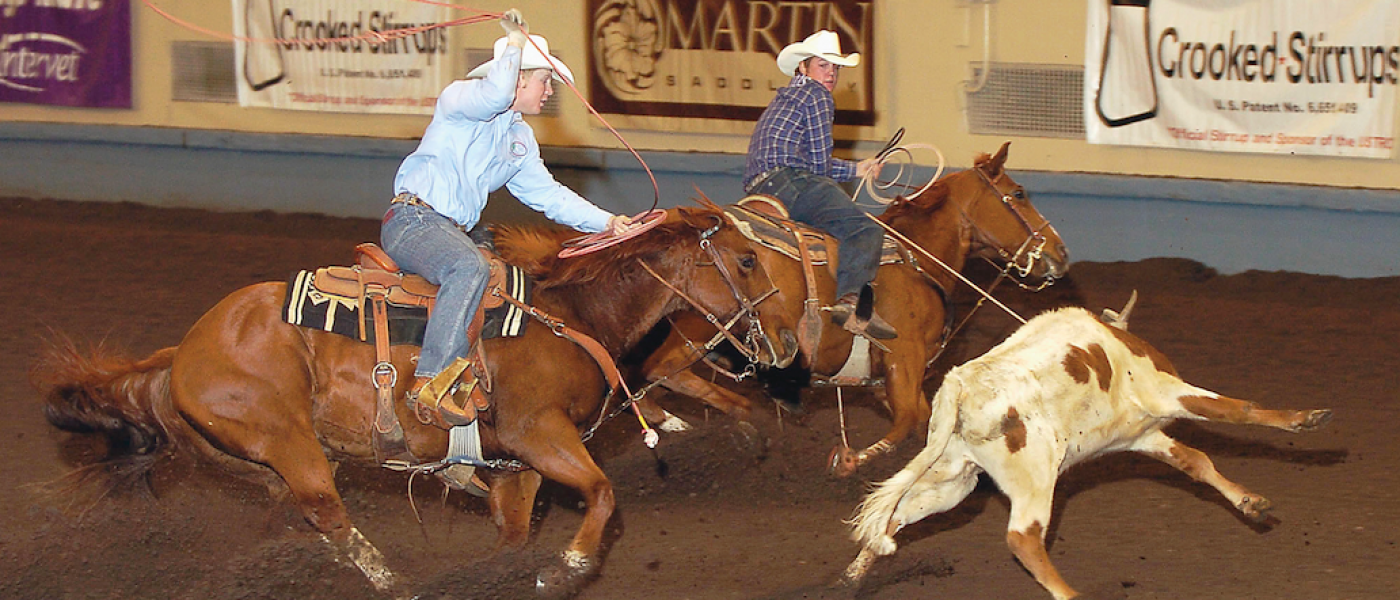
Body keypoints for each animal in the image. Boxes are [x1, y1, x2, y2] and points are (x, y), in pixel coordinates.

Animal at [35, 202, 800, 595]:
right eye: (747, 259)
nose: (788, 341)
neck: (570, 315)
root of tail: (181, 351)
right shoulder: (540, 434)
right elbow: (604, 493)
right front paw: (568, 568)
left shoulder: (515, 467)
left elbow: (516, 532)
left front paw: (505, 572)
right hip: (288, 443)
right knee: (330, 516)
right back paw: (390, 583)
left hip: (264, 460)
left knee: (298, 516)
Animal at [638, 142, 1069, 475]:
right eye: (1018, 193)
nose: (1061, 253)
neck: (916, 257)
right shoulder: (903, 357)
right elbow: (907, 421)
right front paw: (850, 460)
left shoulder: (889, 376)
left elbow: (925, 424)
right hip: (701, 327)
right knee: (658, 368)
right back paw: (723, 417)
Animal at [840, 303, 1332, 598]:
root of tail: (960, 386)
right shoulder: (1165, 393)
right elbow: (1234, 409)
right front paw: (1305, 418)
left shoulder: (1142, 436)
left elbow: (1197, 461)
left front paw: (1251, 503)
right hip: (1035, 477)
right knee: (1022, 537)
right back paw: (1070, 594)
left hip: (953, 480)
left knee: (896, 515)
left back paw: (853, 576)